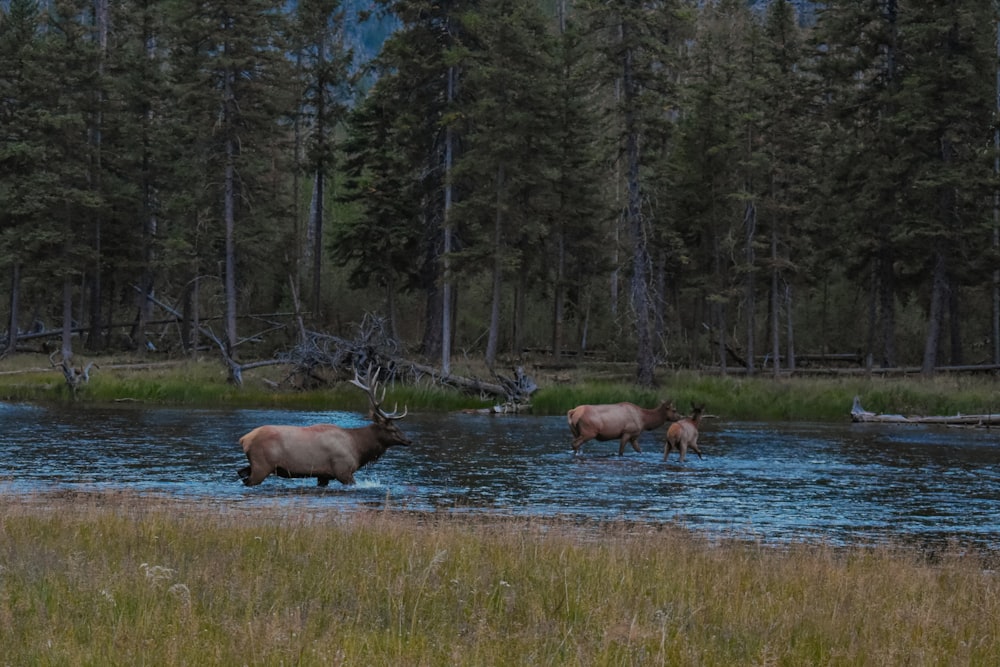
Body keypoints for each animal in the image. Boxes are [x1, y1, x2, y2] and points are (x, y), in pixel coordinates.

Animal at [238, 368, 410, 488]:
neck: (357, 447)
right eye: (392, 429)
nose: (408, 440)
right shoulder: (343, 471)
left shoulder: (323, 476)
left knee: (240, 473)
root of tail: (244, 439)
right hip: (262, 466)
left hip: (255, 465)